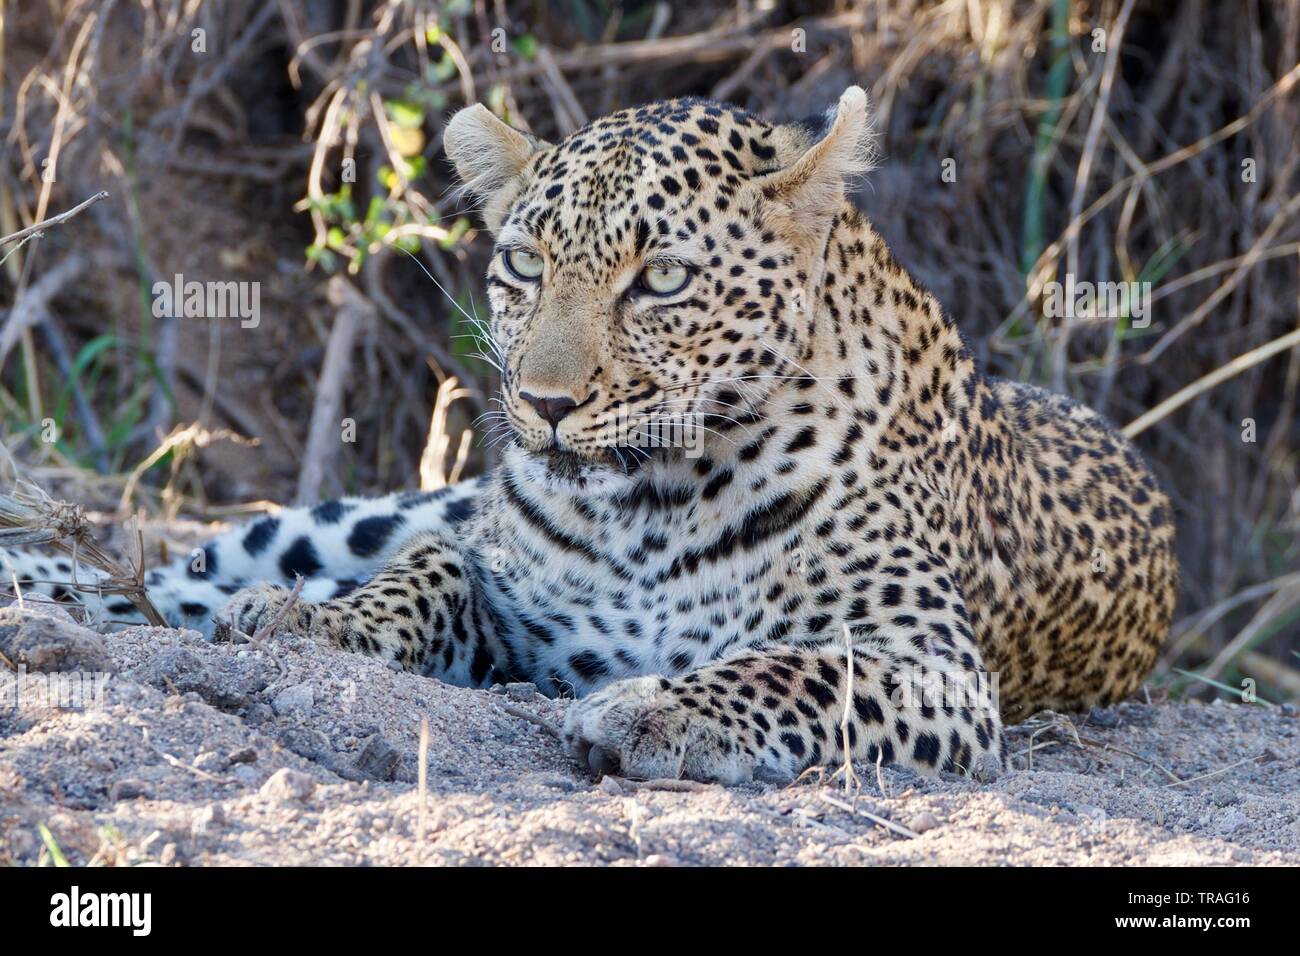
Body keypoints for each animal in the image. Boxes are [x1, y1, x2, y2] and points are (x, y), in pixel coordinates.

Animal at [0, 89, 1180, 790]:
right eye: (525, 265)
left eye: (660, 279)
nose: (545, 402)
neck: (654, 503)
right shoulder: (498, 581)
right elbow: (424, 577)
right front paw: (309, 622)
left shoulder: (934, 669)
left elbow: (797, 668)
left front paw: (654, 709)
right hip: (372, 509)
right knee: (192, 567)